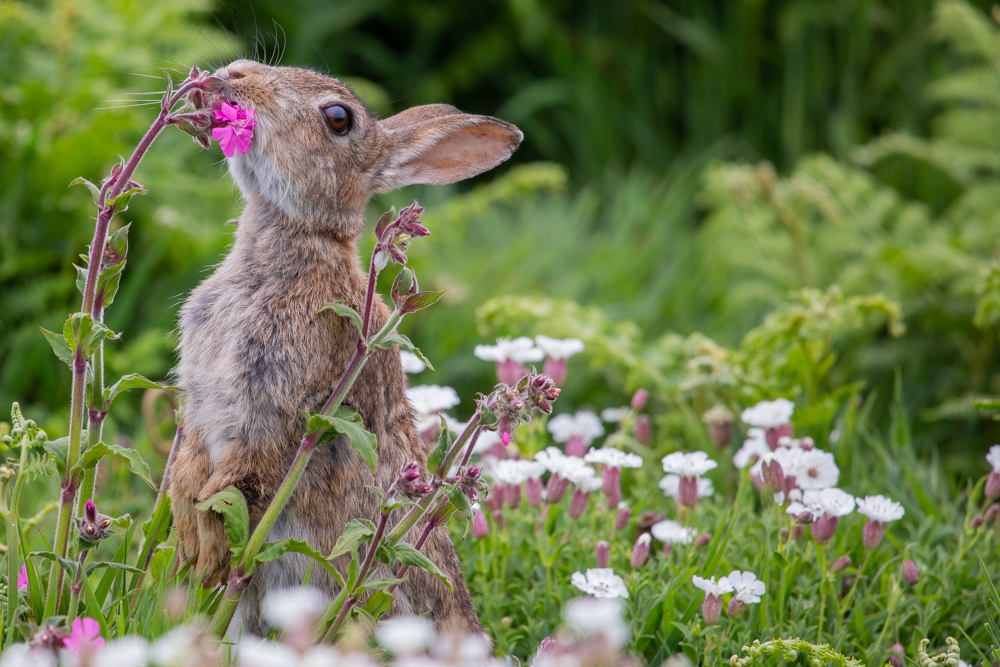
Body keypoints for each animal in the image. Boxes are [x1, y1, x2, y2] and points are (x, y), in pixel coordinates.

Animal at [166, 58, 522, 637]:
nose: (236, 72)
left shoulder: (276, 415)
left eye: (338, 118)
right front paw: (190, 546)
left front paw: (212, 556)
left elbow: (233, 487)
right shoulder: (199, 404)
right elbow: (189, 470)